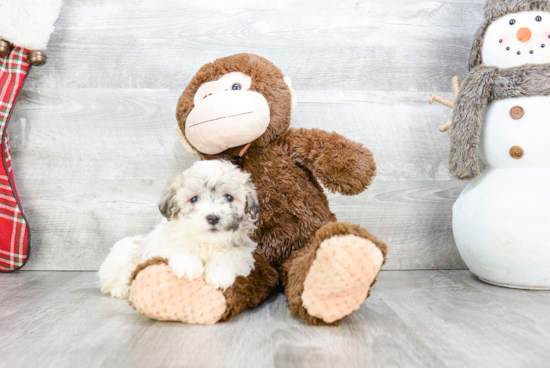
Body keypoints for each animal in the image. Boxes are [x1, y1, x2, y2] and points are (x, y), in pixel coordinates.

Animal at [99, 161, 260, 300]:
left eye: (229, 197)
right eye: (194, 199)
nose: (213, 217)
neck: (207, 243)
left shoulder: (242, 253)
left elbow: (230, 256)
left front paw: (220, 273)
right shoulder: (163, 245)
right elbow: (178, 249)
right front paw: (189, 266)